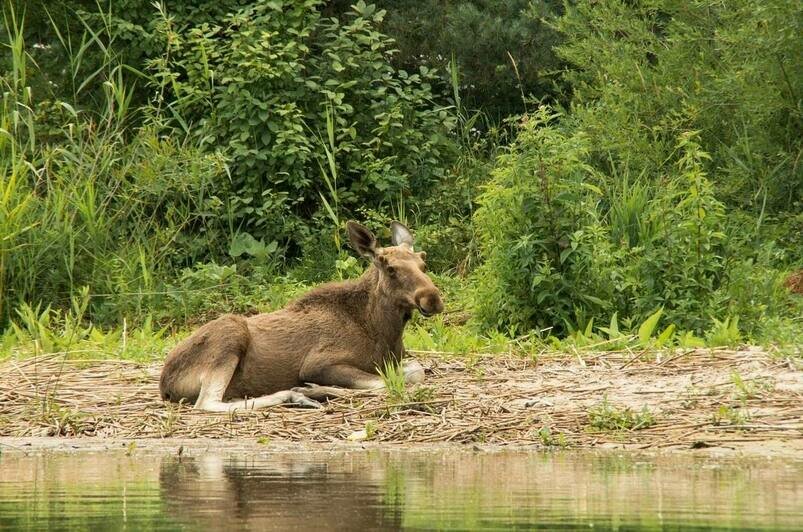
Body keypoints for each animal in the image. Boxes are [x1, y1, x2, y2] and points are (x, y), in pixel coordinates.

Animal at [159, 220, 442, 412]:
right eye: (391, 269)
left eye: (423, 263)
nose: (432, 298)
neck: (382, 330)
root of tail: (164, 384)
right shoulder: (318, 363)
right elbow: (387, 381)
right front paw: (316, 388)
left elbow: (415, 371)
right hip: (230, 333)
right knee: (207, 402)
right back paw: (295, 395)